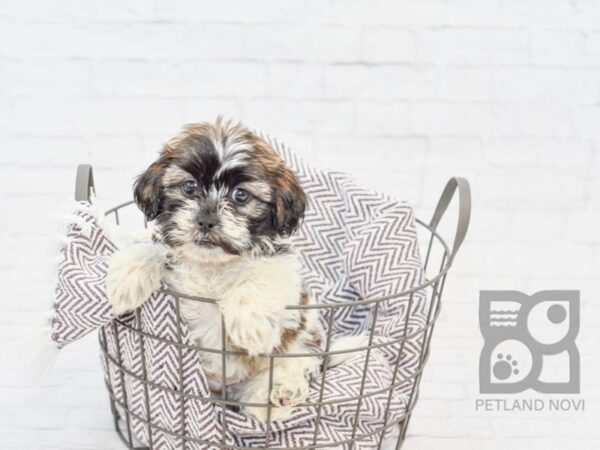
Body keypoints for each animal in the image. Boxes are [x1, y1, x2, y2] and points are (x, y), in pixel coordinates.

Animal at [107, 118, 324, 420]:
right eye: (189, 187)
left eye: (241, 195)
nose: (206, 220)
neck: (213, 265)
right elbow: (155, 246)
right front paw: (127, 276)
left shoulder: (283, 268)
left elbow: (263, 275)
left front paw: (250, 322)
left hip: (302, 338)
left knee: (294, 363)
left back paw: (279, 394)